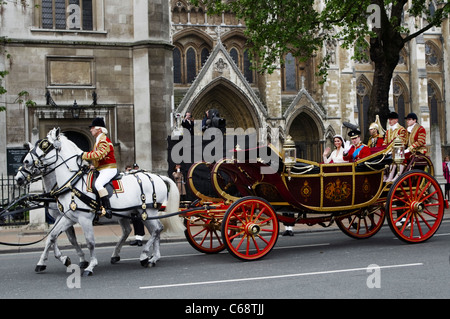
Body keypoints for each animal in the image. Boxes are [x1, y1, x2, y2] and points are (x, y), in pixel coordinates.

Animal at [22, 129, 183, 276]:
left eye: (45, 145)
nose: (26, 162)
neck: (72, 182)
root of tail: (158, 177)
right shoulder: (67, 217)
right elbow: (53, 237)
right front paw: (57, 260)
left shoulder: (84, 218)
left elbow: (89, 242)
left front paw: (90, 265)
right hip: (141, 212)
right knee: (154, 230)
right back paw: (152, 257)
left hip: (148, 211)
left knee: (156, 230)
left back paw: (145, 255)